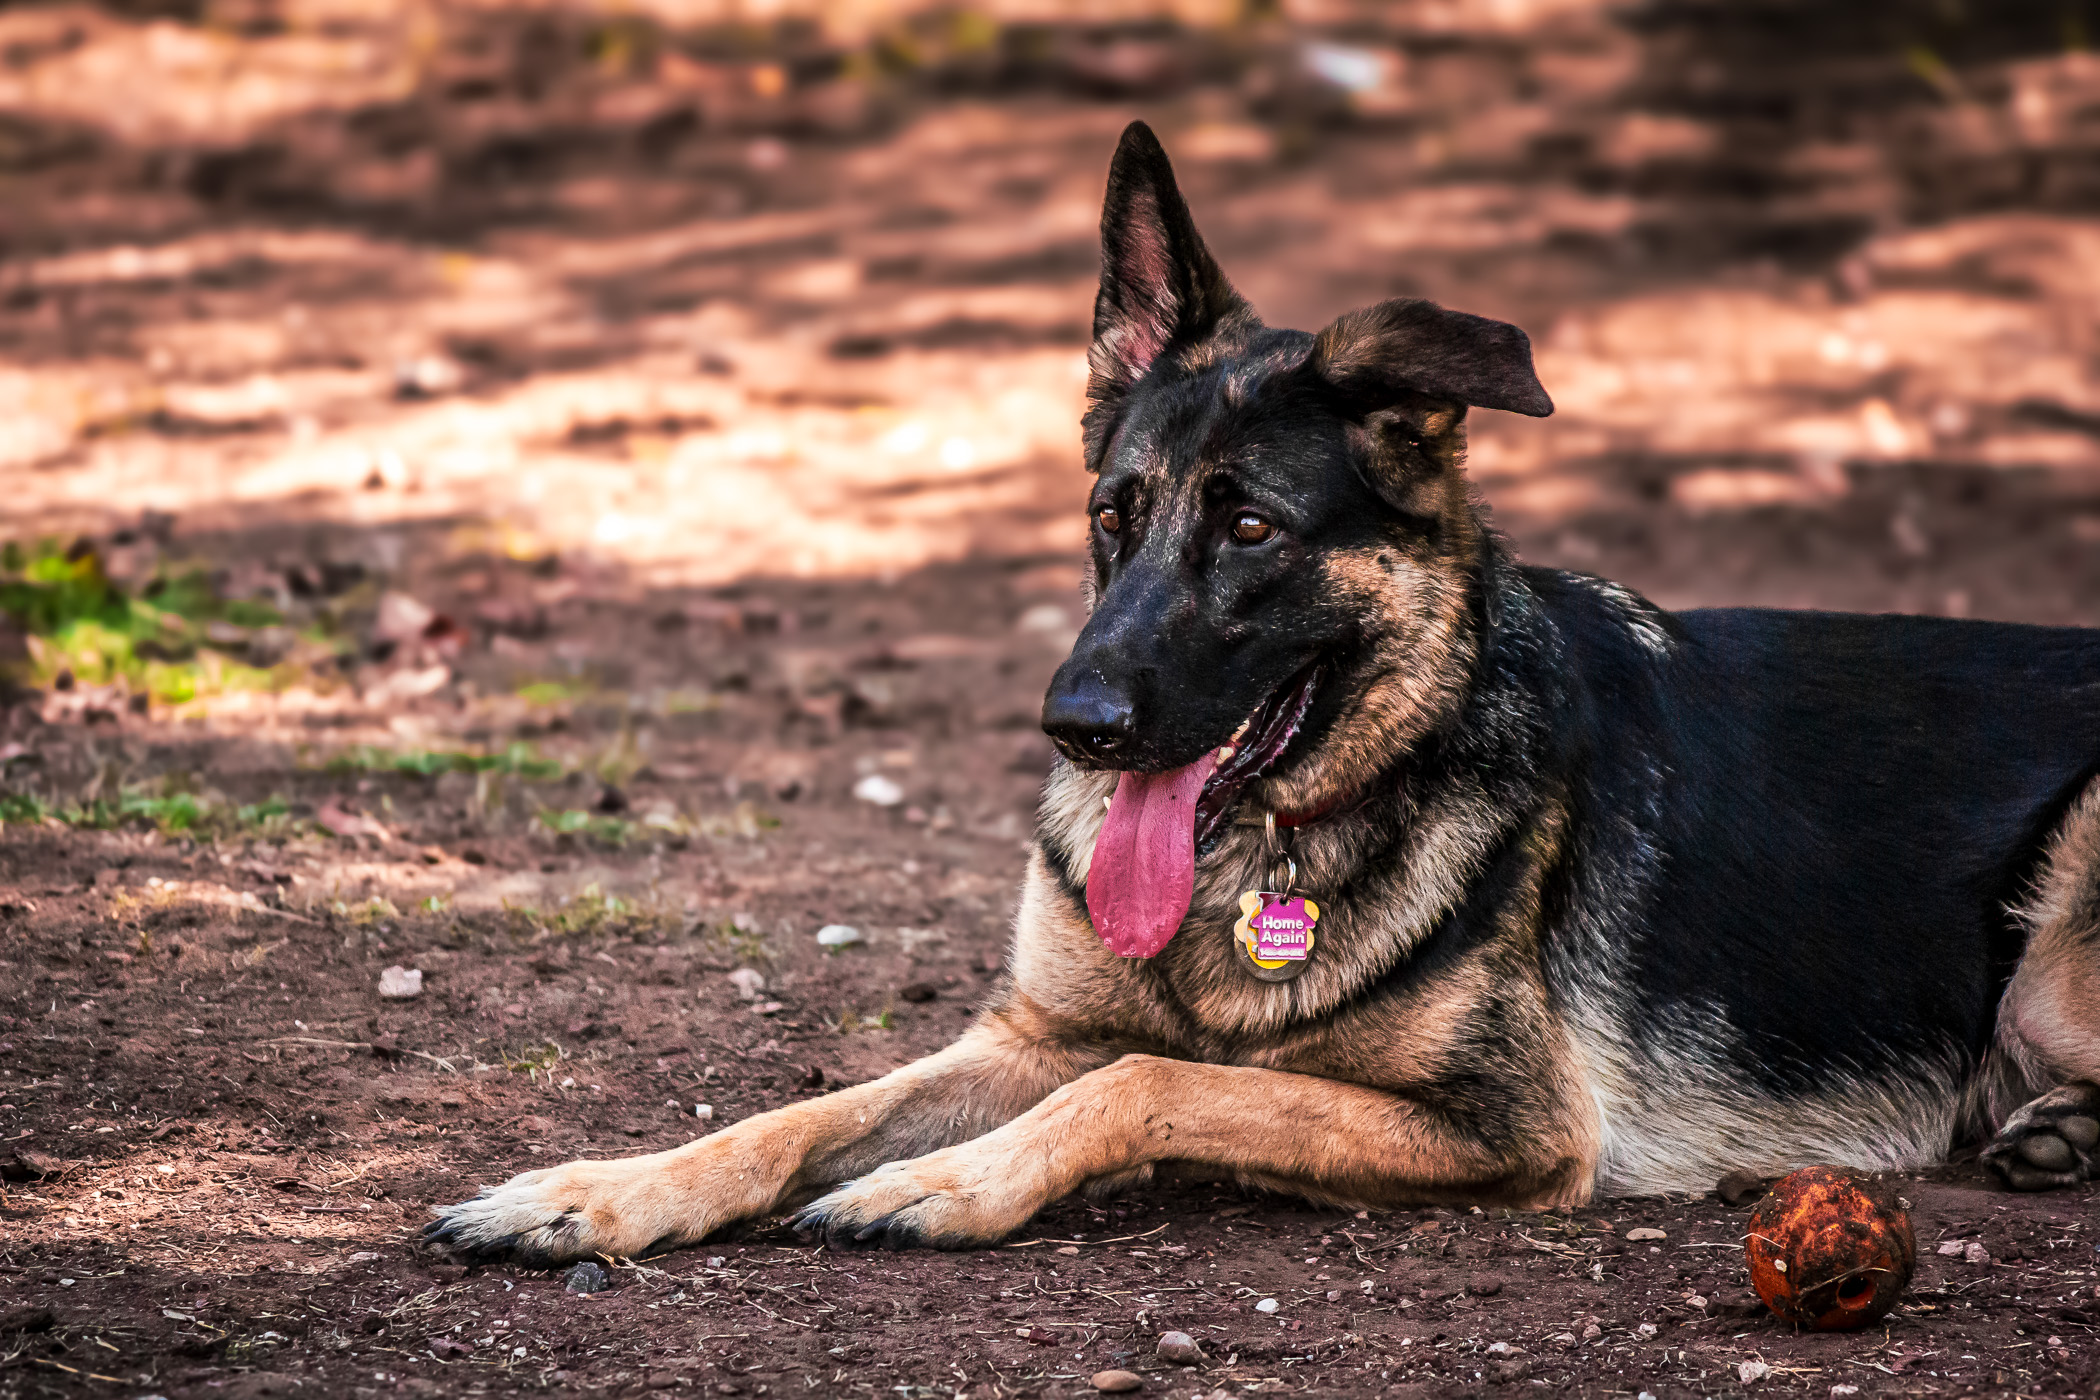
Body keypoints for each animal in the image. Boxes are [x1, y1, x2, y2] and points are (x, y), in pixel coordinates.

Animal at [426, 125, 2100, 1267]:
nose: (1079, 726)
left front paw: (945, 1183)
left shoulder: (1504, 1131)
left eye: (1248, 529)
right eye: (1114, 513)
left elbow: (1153, 1079)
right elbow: (798, 1113)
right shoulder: (1023, 1039)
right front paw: (594, 1193)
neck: (1269, 853)